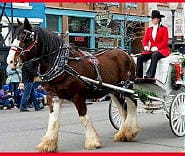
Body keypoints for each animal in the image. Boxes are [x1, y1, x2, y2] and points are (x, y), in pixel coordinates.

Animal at [6, 17, 140, 152]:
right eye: (13, 37)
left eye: (25, 38)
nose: (10, 61)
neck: (63, 64)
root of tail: (127, 54)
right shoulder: (53, 96)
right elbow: (53, 119)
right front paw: (48, 144)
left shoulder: (78, 95)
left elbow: (83, 117)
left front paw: (92, 142)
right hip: (114, 90)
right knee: (122, 110)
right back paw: (123, 133)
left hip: (126, 87)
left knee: (132, 104)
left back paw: (131, 131)